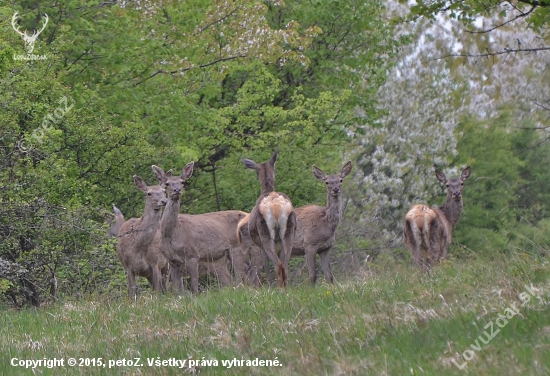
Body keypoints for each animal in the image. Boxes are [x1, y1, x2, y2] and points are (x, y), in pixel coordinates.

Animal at [116, 166, 168, 302]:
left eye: (164, 190)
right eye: (149, 193)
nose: (164, 201)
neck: (138, 246)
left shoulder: (155, 263)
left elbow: (156, 292)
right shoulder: (128, 266)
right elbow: (132, 294)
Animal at [158, 162, 247, 294]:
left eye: (182, 182)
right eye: (167, 183)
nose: (177, 190)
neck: (170, 233)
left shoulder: (193, 254)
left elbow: (194, 288)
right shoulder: (172, 261)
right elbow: (177, 290)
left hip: (237, 246)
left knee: (241, 279)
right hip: (219, 258)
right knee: (231, 281)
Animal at [237, 151, 298, 286]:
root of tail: (276, 206)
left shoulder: (260, 246)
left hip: (264, 234)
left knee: (278, 265)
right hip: (288, 232)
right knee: (284, 265)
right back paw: (286, 288)